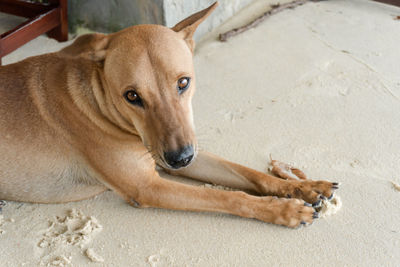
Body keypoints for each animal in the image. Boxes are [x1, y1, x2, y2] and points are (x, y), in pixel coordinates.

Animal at [0, 2, 340, 228]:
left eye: (183, 82)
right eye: (132, 96)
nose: (180, 159)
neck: (97, 101)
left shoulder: (179, 151)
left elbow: (249, 174)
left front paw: (305, 187)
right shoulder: (148, 185)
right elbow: (227, 197)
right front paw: (284, 210)